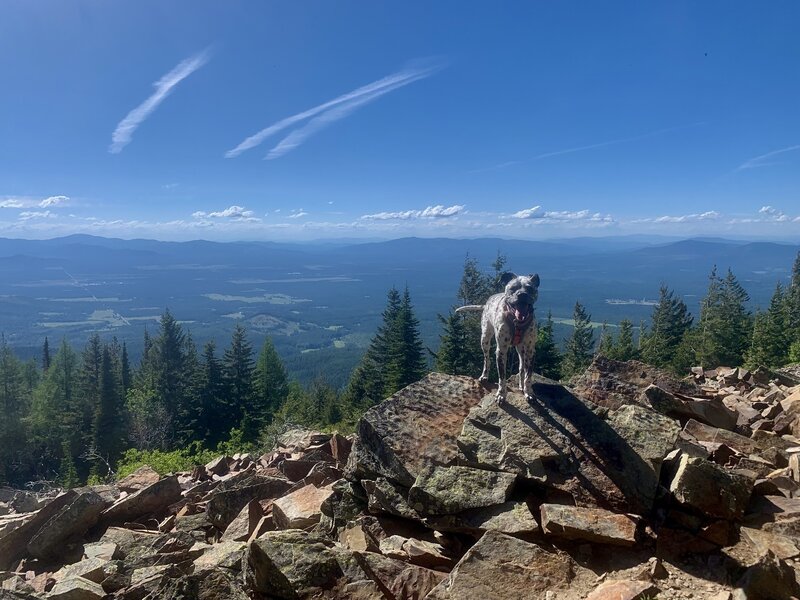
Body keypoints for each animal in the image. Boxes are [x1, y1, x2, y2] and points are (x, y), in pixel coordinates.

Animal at [454, 274, 540, 404]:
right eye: (513, 288)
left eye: (530, 288)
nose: (522, 294)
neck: (517, 323)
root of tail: (486, 303)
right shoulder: (501, 350)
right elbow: (502, 376)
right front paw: (501, 394)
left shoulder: (530, 351)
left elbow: (528, 375)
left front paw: (528, 392)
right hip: (485, 339)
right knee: (486, 359)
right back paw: (484, 375)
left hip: (521, 349)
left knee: (521, 366)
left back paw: (521, 385)